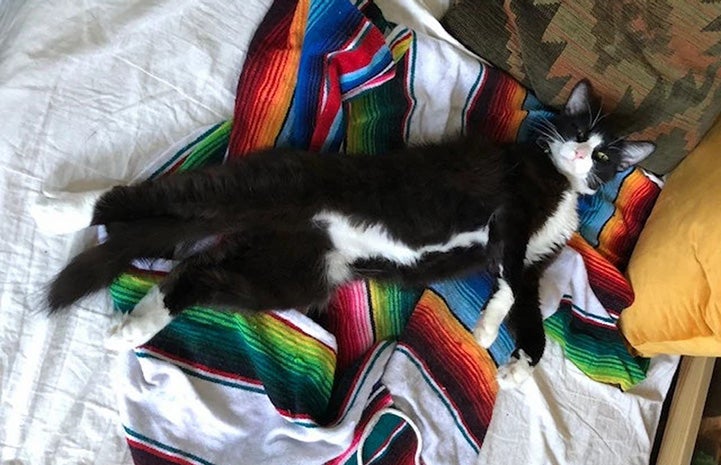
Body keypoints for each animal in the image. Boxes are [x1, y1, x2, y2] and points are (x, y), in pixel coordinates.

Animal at [33, 80, 652, 384]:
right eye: (579, 130)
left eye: (604, 155)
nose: (582, 153)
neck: (561, 187)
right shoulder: (514, 209)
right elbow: (522, 292)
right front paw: (517, 357)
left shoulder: (525, 257)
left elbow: (517, 292)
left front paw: (490, 337)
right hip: (252, 192)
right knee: (137, 200)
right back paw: (59, 210)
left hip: (291, 275)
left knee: (193, 272)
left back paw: (131, 330)